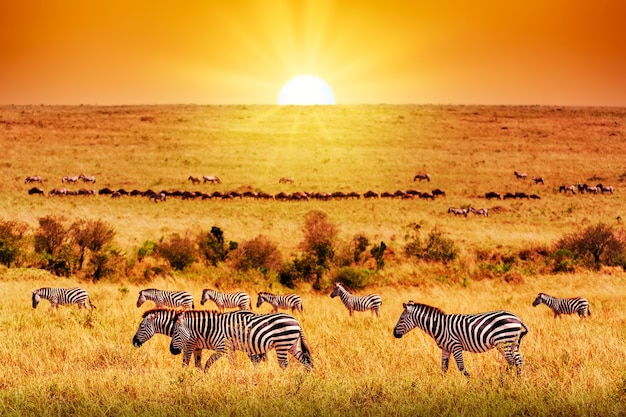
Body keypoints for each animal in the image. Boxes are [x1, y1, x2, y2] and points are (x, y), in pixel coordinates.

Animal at [132, 306, 264, 368]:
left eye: (141, 326)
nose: (134, 342)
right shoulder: (197, 347)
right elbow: (198, 364)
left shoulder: (189, 346)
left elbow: (185, 363)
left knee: (256, 361)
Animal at [169, 308, 310, 370]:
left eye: (175, 332)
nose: (172, 351)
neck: (212, 329)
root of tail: (296, 321)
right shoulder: (230, 349)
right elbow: (233, 363)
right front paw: (233, 375)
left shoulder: (223, 348)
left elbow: (209, 362)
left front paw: (205, 373)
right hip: (292, 345)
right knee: (305, 360)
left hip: (282, 344)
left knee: (283, 364)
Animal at [392, 300, 524, 376]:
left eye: (401, 319)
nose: (394, 334)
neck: (439, 326)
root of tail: (518, 319)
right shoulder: (445, 349)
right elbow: (444, 368)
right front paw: (442, 385)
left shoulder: (456, 346)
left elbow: (461, 368)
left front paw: (469, 384)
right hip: (513, 343)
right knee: (518, 361)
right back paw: (517, 382)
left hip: (503, 341)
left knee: (511, 361)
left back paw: (505, 381)